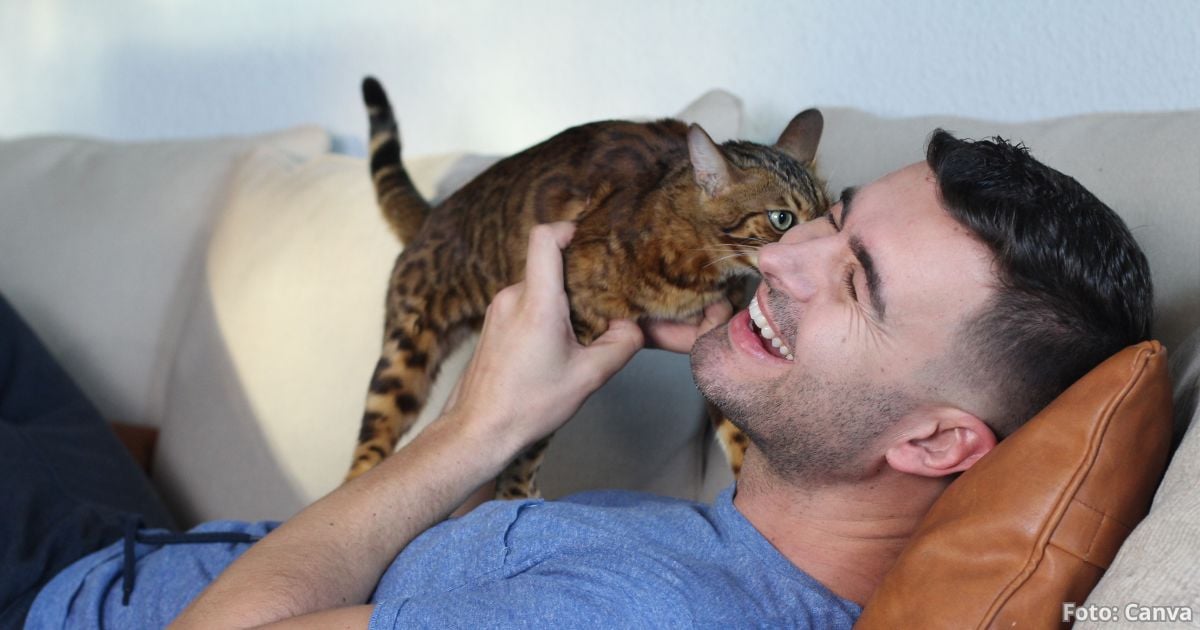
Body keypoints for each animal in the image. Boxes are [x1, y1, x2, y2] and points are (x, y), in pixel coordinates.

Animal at [350, 76, 830, 499]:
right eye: (782, 219)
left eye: (827, 213)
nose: (825, 247)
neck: (696, 273)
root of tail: (433, 213)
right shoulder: (573, 319)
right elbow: (532, 439)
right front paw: (511, 494)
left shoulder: (716, 332)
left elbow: (736, 426)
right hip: (403, 360)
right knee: (362, 457)